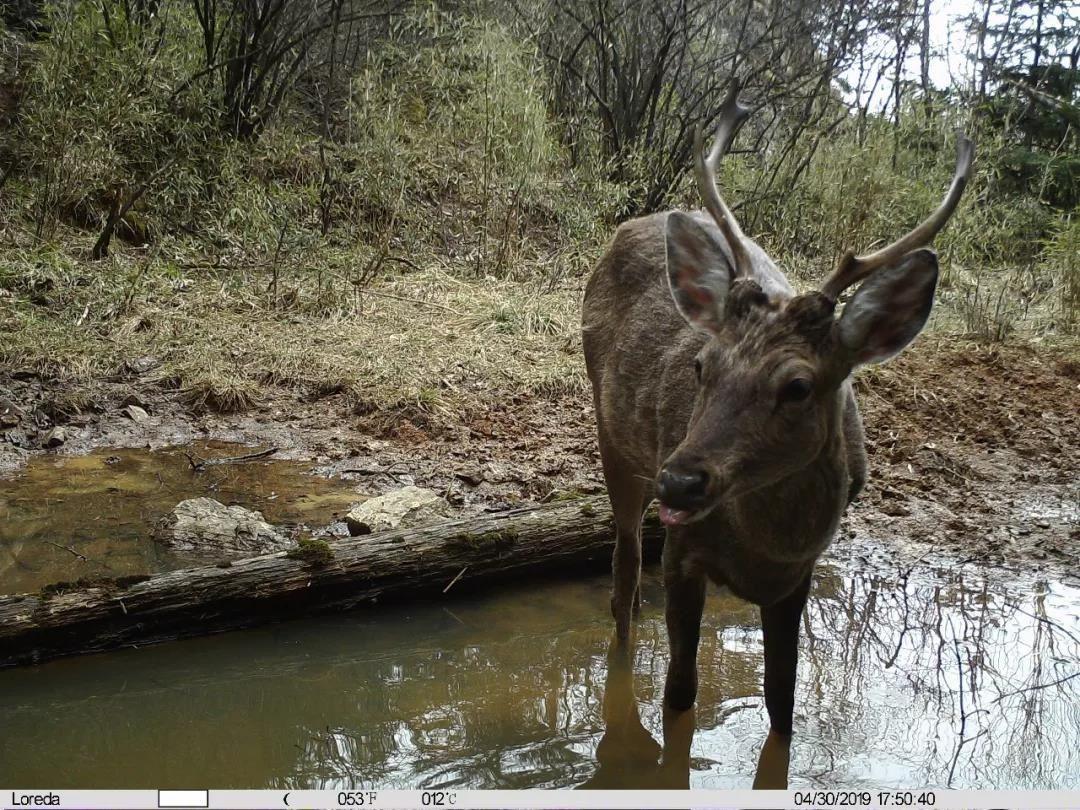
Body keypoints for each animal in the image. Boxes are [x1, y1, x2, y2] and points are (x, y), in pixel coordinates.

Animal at [587, 84, 976, 743]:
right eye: (702, 366)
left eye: (797, 386)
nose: (680, 479)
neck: (765, 549)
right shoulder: (682, 553)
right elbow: (680, 694)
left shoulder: (800, 577)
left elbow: (783, 703)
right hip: (610, 433)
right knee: (624, 572)